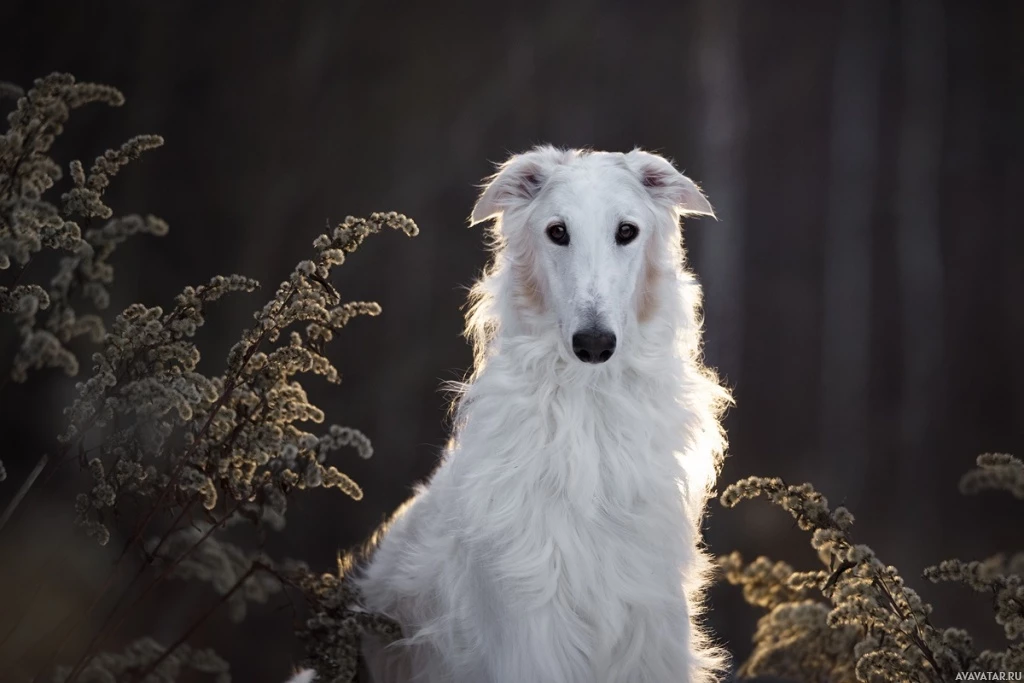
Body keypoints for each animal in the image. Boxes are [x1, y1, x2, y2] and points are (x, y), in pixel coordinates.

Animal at [352, 147, 729, 679]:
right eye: (557, 231)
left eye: (627, 231)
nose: (594, 345)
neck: (588, 412)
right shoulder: (531, 626)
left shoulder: (648, 624)